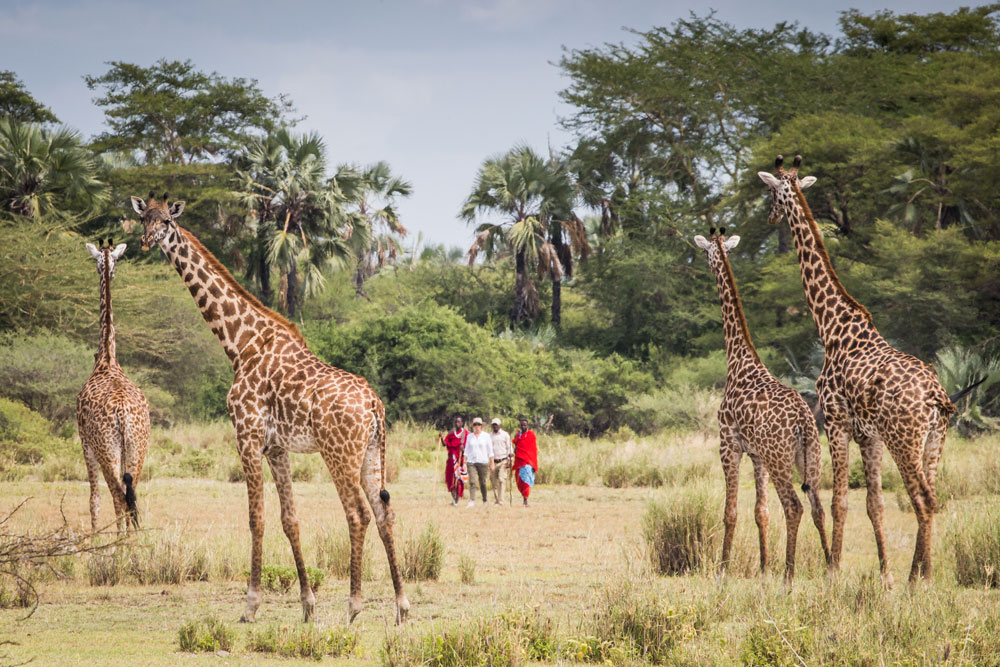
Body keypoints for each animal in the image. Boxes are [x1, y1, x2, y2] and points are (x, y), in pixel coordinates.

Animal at [131, 193, 408, 628]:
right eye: (144, 218)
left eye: (167, 223)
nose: (146, 241)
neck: (239, 344)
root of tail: (375, 405)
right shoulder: (276, 447)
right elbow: (289, 519)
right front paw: (308, 605)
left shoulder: (246, 435)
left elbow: (255, 517)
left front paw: (250, 604)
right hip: (370, 453)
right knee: (384, 513)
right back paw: (401, 606)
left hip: (338, 453)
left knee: (358, 514)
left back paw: (354, 605)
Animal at [696, 226, 828, 580]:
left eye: (707, 252)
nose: (707, 266)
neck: (738, 361)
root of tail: (803, 421)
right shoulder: (756, 455)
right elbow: (761, 512)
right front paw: (764, 567)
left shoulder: (728, 444)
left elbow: (730, 511)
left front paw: (723, 570)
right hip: (809, 457)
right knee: (818, 507)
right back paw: (830, 567)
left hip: (780, 458)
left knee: (794, 506)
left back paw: (789, 575)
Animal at [760, 158, 956, 584]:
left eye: (771, 192)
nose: (770, 217)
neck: (832, 325)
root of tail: (935, 396)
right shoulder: (869, 435)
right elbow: (874, 504)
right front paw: (884, 574)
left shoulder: (835, 420)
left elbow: (839, 502)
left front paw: (833, 571)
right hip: (935, 438)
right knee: (933, 496)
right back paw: (921, 572)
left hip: (905, 439)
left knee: (921, 498)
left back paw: (920, 579)